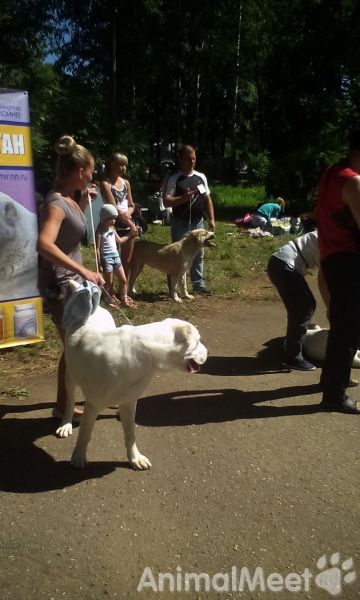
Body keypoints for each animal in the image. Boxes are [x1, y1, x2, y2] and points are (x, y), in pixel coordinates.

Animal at [56, 278, 208, 472]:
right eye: (198, 341)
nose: (208, 352)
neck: (145, 351)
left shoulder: (129, 401)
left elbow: (130, 433)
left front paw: (134, 458)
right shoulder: (92, 405)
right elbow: (85, 434)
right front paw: (78, 456)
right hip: (70, 375)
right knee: (70, 401)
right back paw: (66, 423)